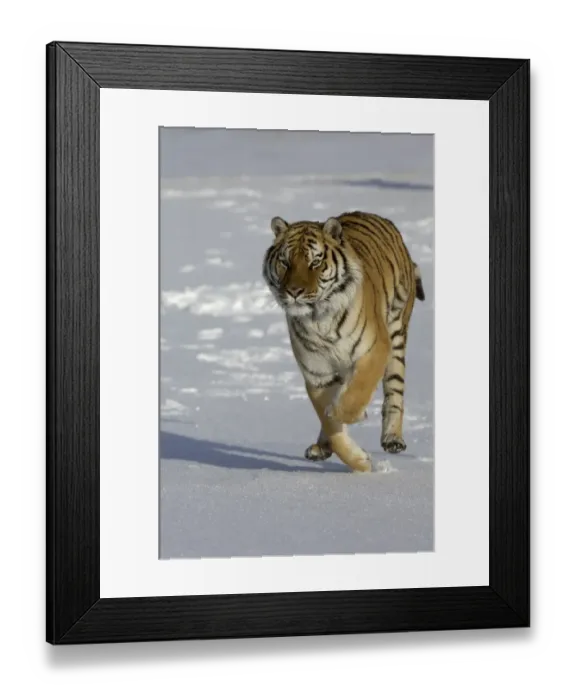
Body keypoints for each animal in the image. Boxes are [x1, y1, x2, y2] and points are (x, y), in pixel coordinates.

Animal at [261, 210, 425, 473]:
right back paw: (320, 447)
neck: (318, 318)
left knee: (395, 389)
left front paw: (353, 415)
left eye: (315, 262)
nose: (294, 292)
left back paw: (393, 439)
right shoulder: (317, 374)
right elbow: (330, 424)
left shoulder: (375, 349)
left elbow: (353, 396)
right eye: (285, 262)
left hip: (397, 335)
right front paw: (360, 461)